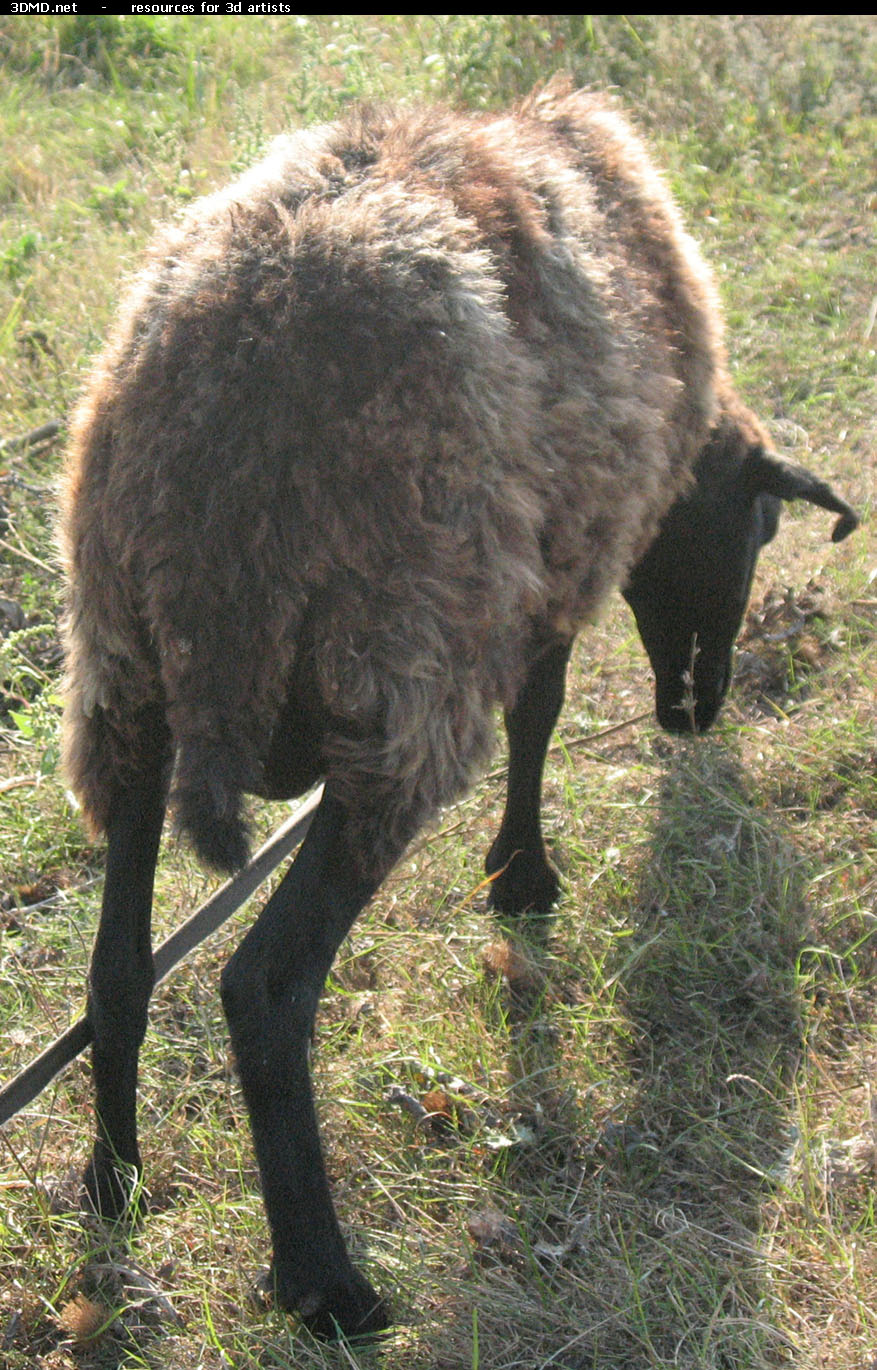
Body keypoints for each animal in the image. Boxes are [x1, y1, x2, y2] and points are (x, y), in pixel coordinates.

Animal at [59, 82, 855, 1337]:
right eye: (759, 527)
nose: (694, 714)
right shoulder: (550, 573)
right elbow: (540, 715)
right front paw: (522, 875)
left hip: (121, 685)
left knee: (117, 971)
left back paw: (114, 1181)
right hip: (401, 684)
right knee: (263, 985)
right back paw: (328, 1284)